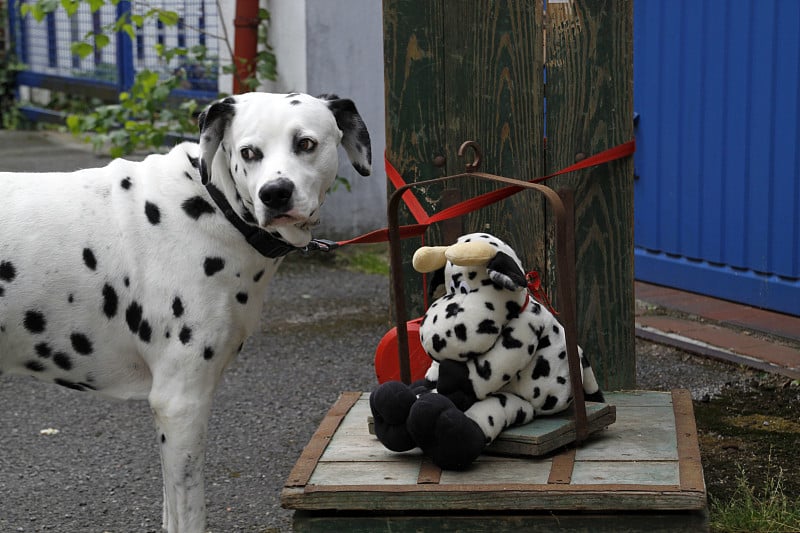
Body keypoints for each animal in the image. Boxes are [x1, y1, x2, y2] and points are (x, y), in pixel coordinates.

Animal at [0, 92, 372, 532]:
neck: (213, 207)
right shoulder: (180, 404)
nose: (275, 193)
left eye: (306, 143)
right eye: (249, 152)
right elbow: (188, 513)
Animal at [372, 233, 604, 470]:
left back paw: (439, 427)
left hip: (516, 403)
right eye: (450, 289)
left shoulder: (524, 330)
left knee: (483, 415)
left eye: (465, 288)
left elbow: (490, 368)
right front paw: (434, 378)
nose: (431, 338)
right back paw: (391, 407)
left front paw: (451, 380)